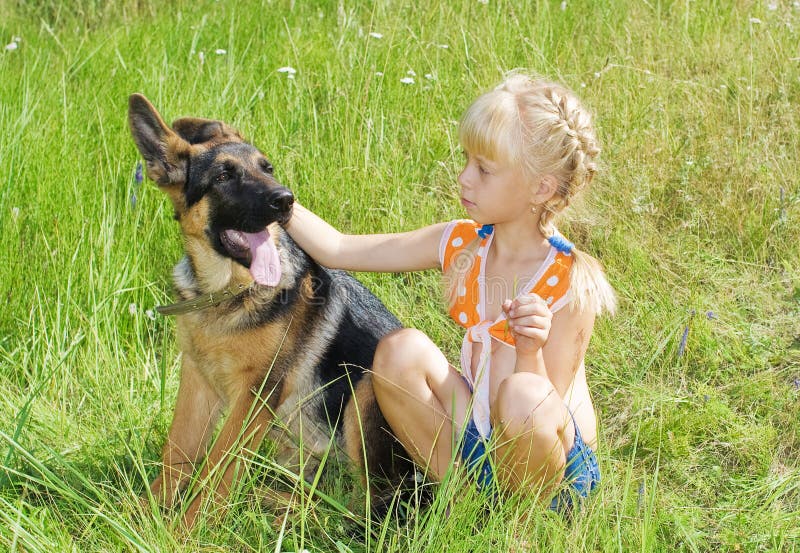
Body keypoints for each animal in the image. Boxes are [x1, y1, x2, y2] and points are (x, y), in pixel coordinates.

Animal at [128, 95, 416, 528]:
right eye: (223, 176)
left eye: (268, 168)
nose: (286, 200)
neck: (225, 294)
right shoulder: (197, 380)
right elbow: (177, 452)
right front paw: (143, 518)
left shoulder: (256, 395)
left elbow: (217, 468)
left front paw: (186, 530)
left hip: (365, 391)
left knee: (371, 504)